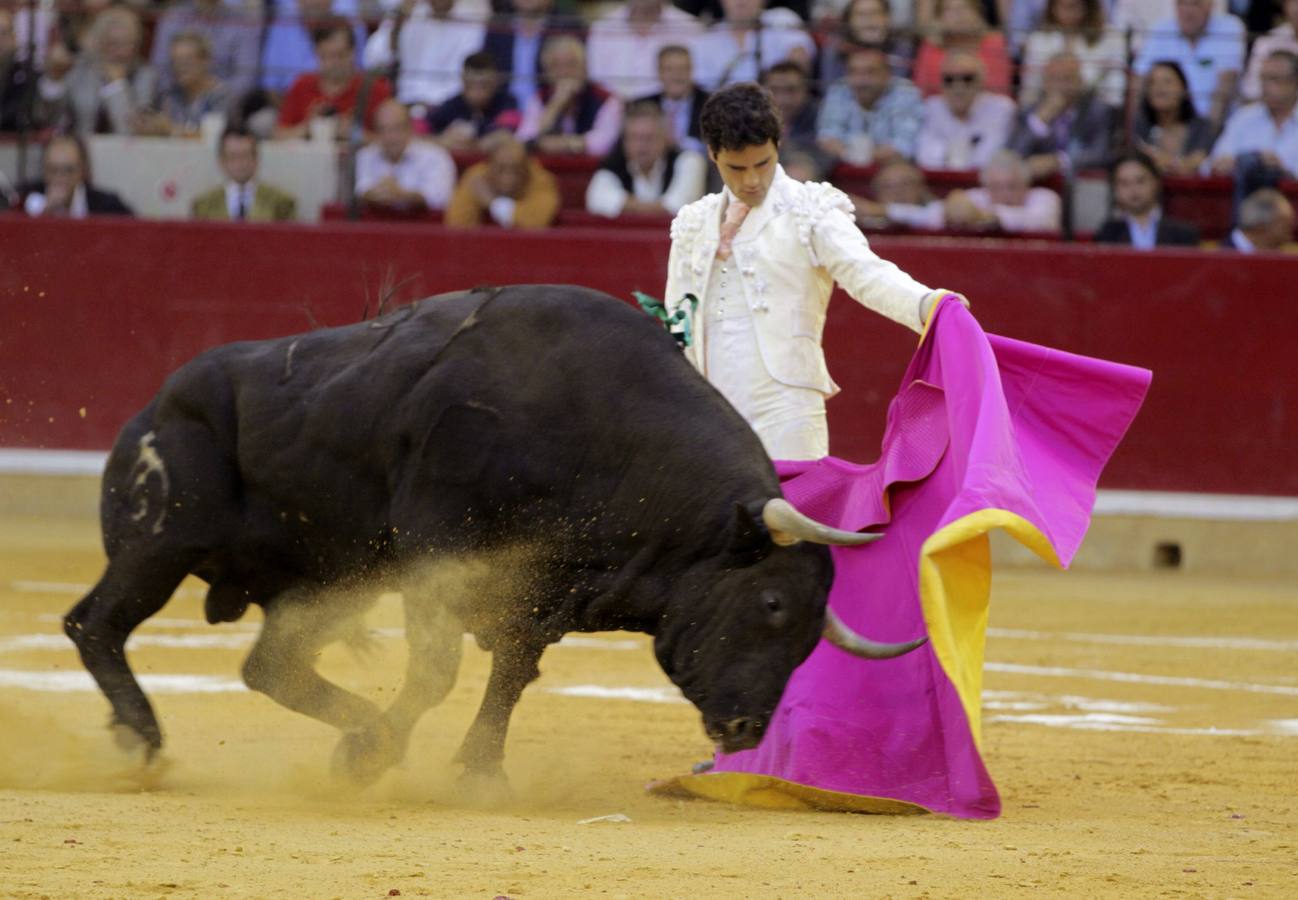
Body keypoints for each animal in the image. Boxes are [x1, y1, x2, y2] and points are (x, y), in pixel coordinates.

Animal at [63, 284, 924, 784]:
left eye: (810, 636)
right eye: (772, 604)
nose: (746, 731)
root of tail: (154, 404)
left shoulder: (540, 585)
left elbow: (510, 672)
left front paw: (474, 768)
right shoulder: (436, 549)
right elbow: (439, 671)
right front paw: (378, 756)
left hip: (324, 583)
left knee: (269, 665)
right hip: (158, 546)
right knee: (94, 623)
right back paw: (145, 742)